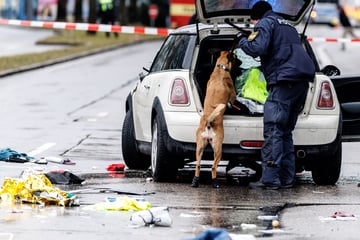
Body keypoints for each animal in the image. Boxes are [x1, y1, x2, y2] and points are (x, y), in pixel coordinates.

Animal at [191, 50, 239, 188]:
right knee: (213, 167)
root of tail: (208, 122)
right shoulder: (232, 95)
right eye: (235, 57)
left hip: (199, 148)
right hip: (218, 149)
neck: (220, 69)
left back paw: (195, 181)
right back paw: (215, 182)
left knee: (198, 165)